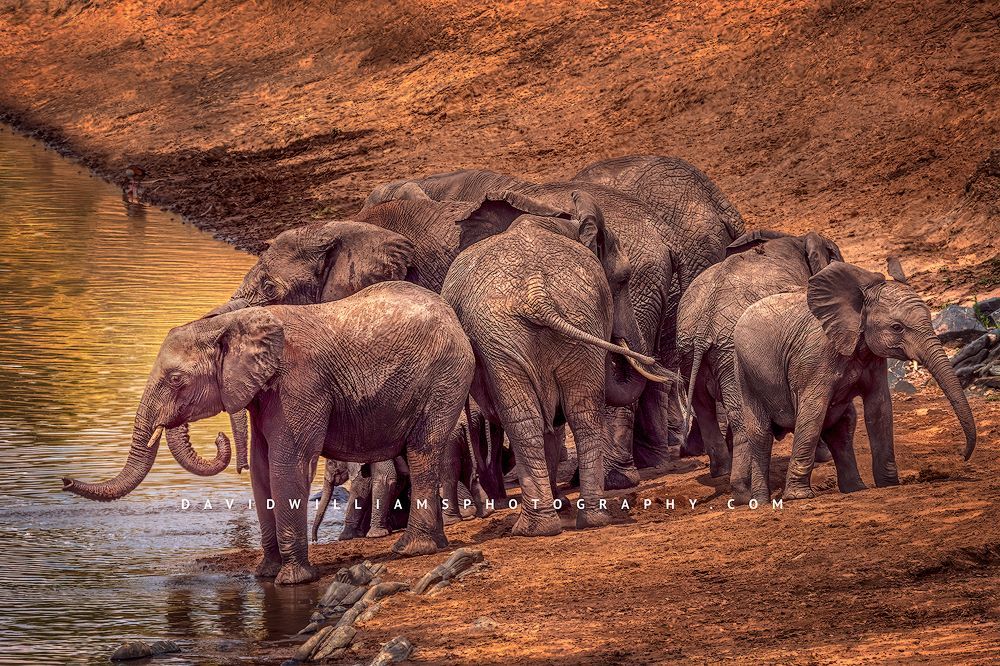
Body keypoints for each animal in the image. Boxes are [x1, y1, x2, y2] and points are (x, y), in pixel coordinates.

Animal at [64, 281, 474, 583]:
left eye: (177, 380)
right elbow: (262, 470)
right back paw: (433, 544)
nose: (65, 480)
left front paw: (292, 580)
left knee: (423, 450)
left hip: (444, 377)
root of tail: (451, 314)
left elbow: (284, 464)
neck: (235, 322)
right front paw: (265, 574)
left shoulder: (300, 384)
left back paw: (412, 549)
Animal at [441, 189, 673, 536]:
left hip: (524, 331)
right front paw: (559, 505)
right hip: (528, 329)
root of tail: (537, 294)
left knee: (533, 420)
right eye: (621, 280)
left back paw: (537, 527)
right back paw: (585, 520)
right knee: (576, 414)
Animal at [676, 230, 844, 476]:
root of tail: (703, 325)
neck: (796, 238)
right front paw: (824, 456)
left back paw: (721, 471)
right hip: (730, 350)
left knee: (703, 405)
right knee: (736, 412)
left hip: (689, 348)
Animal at [731, 260, 977, 503]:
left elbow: (879, 408)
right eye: (897, 327)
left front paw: (889, 484)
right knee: (761, 434)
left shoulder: (874, 359)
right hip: (743, 371)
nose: (962, 455)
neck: (860, 303)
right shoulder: (815, 358)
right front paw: (799, 497)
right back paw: (760, 502)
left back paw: (855, 489)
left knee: (843, 427)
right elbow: (812, 412)